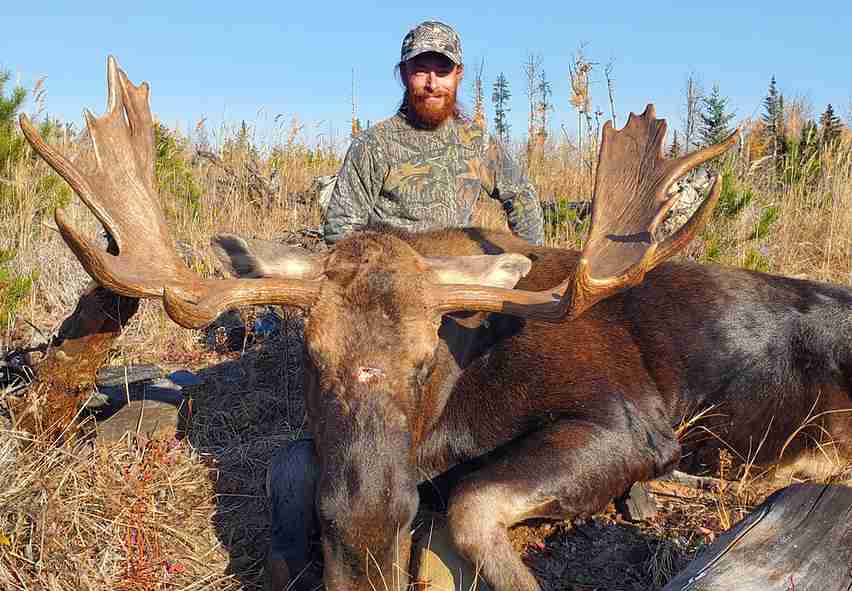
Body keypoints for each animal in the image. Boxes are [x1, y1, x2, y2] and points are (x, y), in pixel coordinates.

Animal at [20, 57, 852, 591]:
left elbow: (471, 503)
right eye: (311, 358)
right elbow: (288, 482)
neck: (450, 411)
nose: (364, 536)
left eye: (426, 361)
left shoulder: (632, 421)